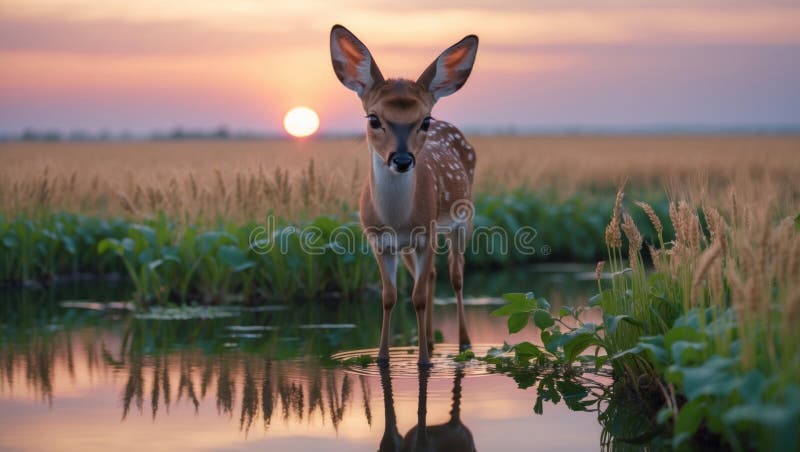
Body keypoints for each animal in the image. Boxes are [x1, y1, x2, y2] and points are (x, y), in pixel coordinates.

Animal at [330, 25, 479, 366]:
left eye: (424, 120)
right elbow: (390, 297)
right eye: (373, 118)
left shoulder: (427, 233)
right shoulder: (378, 240)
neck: (396, 219)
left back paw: (463, 343)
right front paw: (383, 357)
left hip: (463, 219)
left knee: (456, 276)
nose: (401, 159)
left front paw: (423, 362)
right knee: (433, 275)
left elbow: (419, 298)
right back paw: (432, 341)